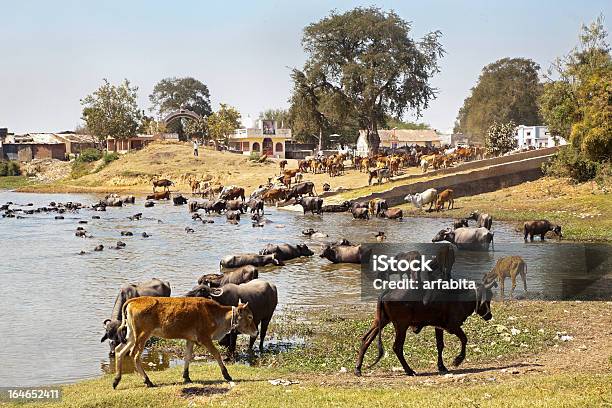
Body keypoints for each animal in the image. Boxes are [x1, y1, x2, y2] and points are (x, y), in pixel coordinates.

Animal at [111, 296, 256, 388]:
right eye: (250, 316)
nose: (256, 332)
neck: (213, 314)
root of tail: (135, 300)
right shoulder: (205, 338)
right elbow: (216, 354)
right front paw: (227, 375)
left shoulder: (190, 340)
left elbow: (187, 357)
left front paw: (186, 376)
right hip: (142, 336)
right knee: (134, 355)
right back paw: (148, 381)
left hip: (131, 336)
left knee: (119, 351)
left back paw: (116, 380)